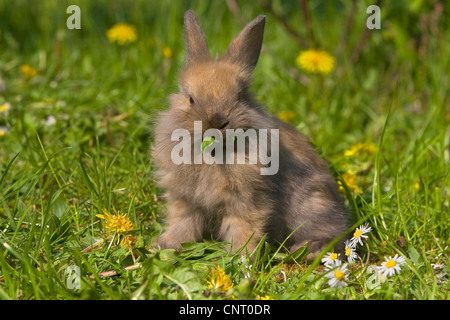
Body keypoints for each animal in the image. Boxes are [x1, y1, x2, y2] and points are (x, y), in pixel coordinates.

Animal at [151, 10, 352, 262]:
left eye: (240, 96)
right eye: (191, 99)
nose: (217, 121)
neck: (214, 154)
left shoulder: (249, 200)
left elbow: (245, 228)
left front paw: (240, 257)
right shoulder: (185, 200)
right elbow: (182, 224)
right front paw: (165, 245)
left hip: (312, 207)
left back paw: (308, 250)